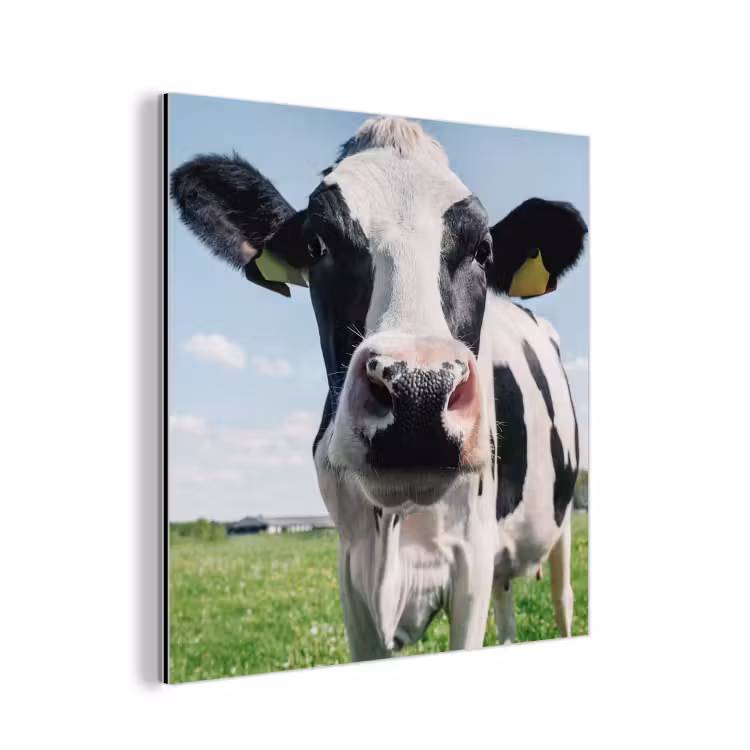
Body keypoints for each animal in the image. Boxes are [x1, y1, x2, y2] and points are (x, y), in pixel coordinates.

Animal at [170, 116, 587, 660]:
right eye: (316, 245)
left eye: (483, 250)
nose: (419, 394)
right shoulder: (353, 569)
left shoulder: (471, 558)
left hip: (561, 521)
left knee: (563, 598)